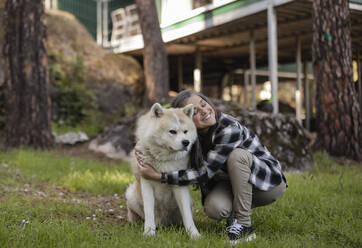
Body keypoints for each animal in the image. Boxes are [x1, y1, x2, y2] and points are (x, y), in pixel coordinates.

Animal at [126, 102, 201, 238]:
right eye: (172, 131)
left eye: (185, 131)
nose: (186, 142)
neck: (164, 159)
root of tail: (163, 223)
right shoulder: (146, 184)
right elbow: (149, 212)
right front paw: (149, 232)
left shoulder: (179, 183)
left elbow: (187, 215)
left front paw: (194, 234)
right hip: (131, 195)